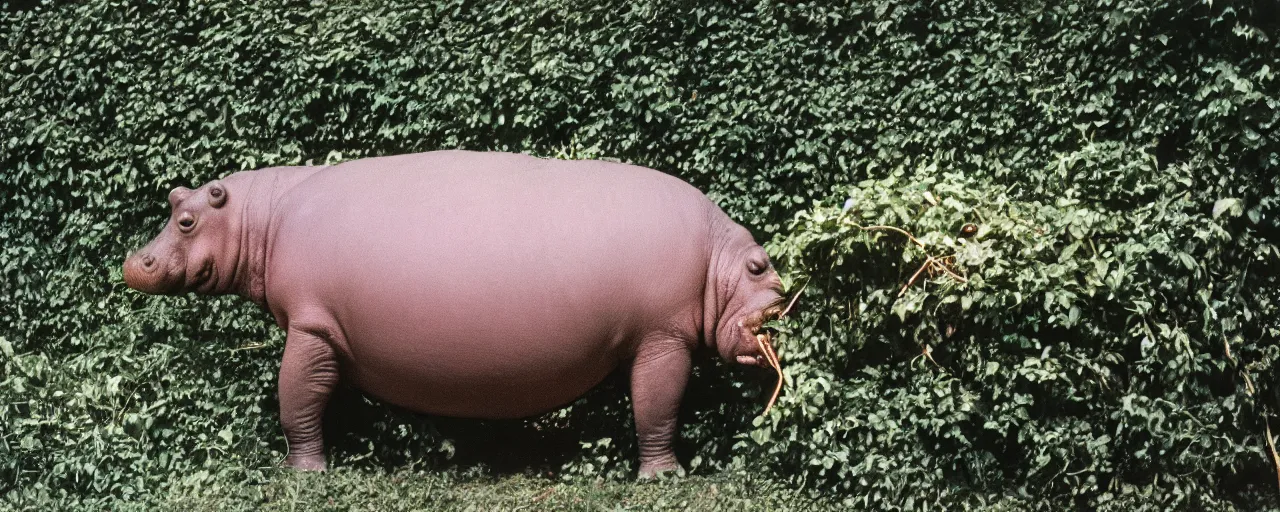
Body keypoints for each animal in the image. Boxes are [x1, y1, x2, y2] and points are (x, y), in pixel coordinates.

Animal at [122, 149, 778, 476]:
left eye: (185, 218)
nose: (134, 260)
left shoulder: (662, 338)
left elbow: (655, 410)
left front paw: (662, 479)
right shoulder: (317, 327)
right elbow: (301, 403)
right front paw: (308, 475)